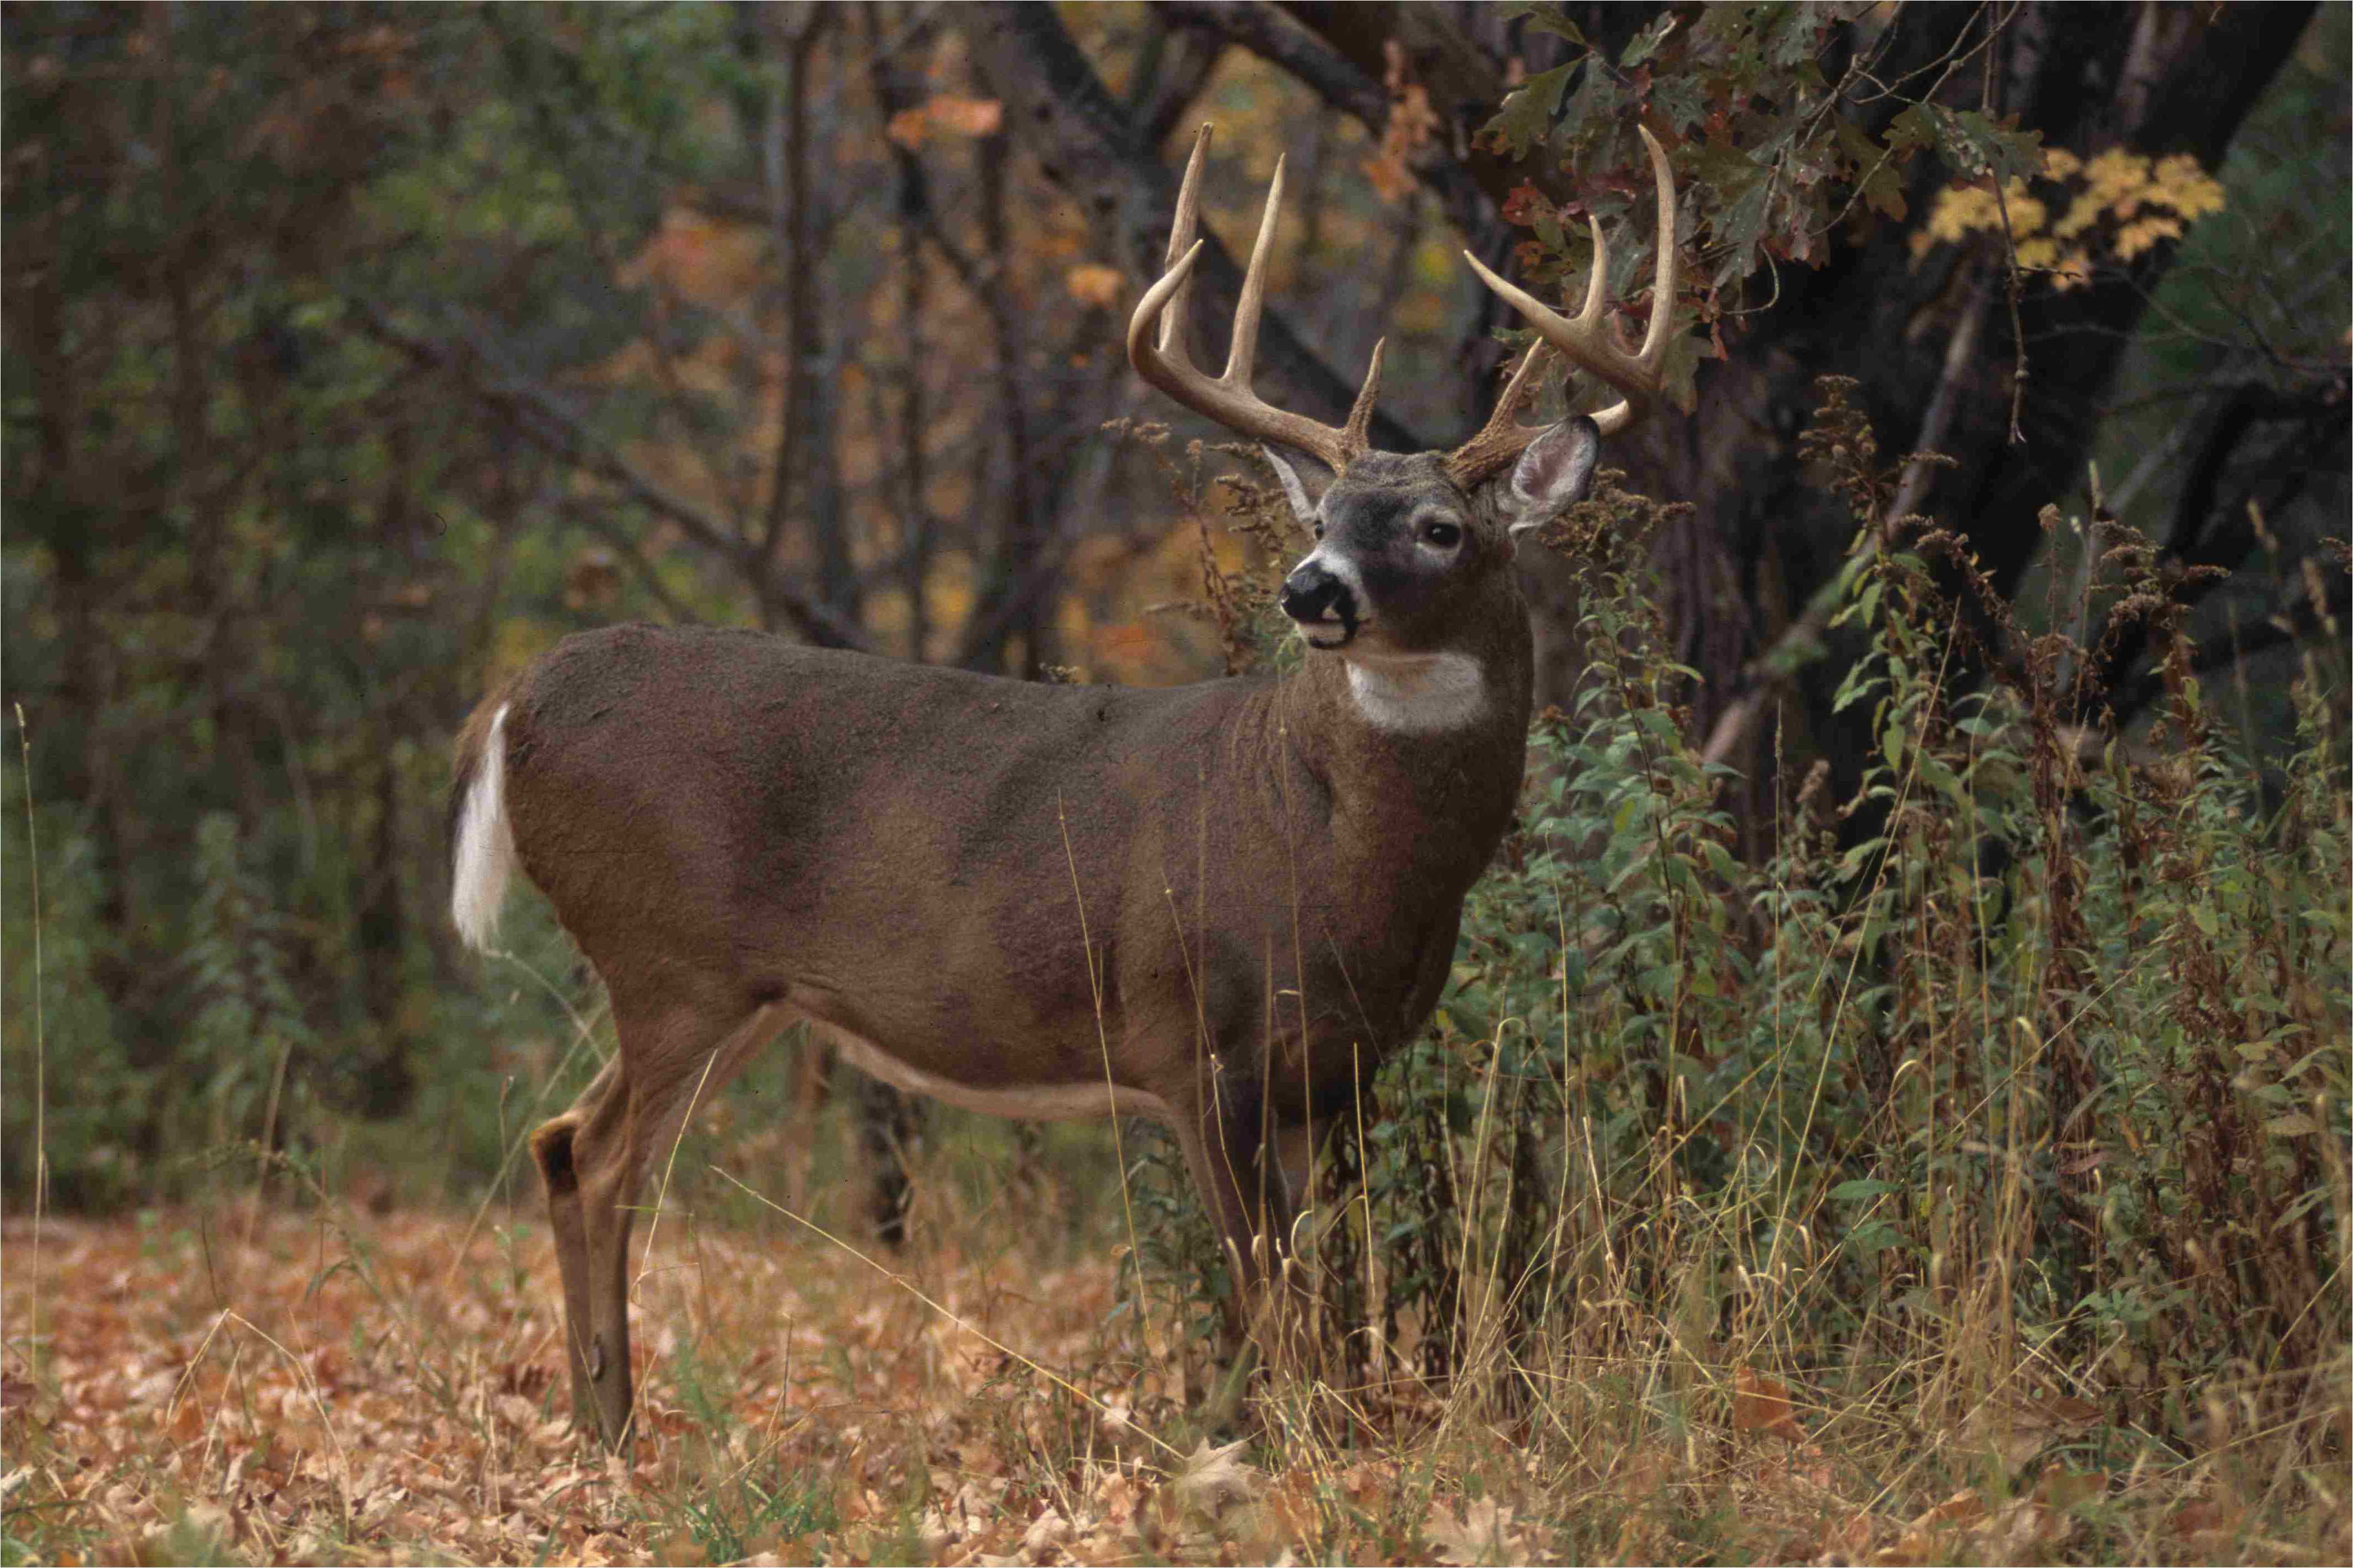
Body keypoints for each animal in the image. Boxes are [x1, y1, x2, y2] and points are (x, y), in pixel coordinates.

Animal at [449, 123, 1680, 1451]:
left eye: (1439, 527)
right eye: (1328, 515)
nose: (1307, 588)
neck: (1339, 856)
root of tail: (517, 696)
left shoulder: (1334, 1071)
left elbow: (1305, 1281)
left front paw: (1297, 1435)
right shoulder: (1194, 1040)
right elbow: (1263, 1287)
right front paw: (1272, 1451)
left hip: (737, 990)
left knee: (564, 1143)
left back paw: (602, 1427)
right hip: (668, 958)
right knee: (601, 1157)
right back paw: (618, 1436)